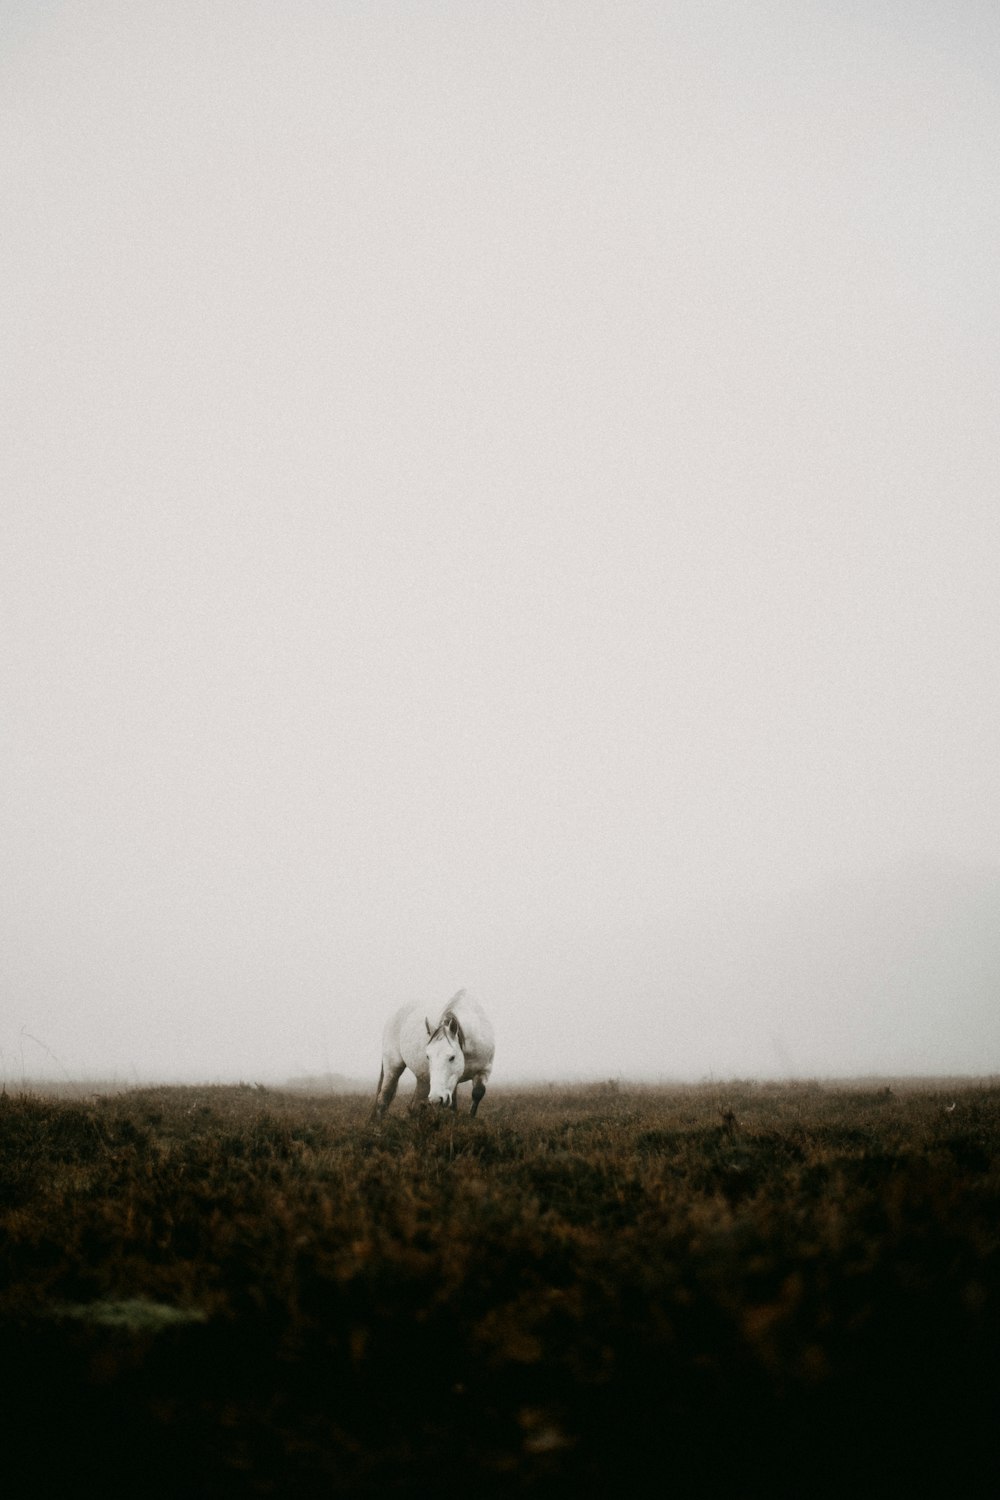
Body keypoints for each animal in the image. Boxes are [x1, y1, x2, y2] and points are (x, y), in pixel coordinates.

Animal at [371, 990, 497, 1122]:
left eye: (452, 1057)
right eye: (428, 1056)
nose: (436, 1099)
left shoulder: (484, 1070)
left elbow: (477, 1093)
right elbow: (452, 1104)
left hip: (422, 1078)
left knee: (415, 1103)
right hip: (393, 1067)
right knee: (384, 1097)